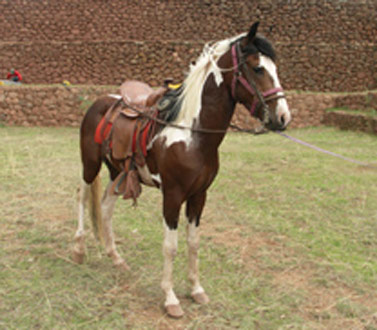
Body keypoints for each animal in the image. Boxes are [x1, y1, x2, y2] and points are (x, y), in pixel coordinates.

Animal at [72, 21, 290, 318]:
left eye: (275, 68)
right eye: (257, 68)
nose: (283, 117)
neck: (192, 134)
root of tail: (101, 101)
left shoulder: (199, 195)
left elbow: (193, 243)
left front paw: (196, 290)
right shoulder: (173, 195)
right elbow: (170, 247)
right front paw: (170, 298)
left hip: (118, 172)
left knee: (105, 206)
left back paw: (115, 258)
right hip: (90, 165)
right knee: (83, 198)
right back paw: (79, 250)